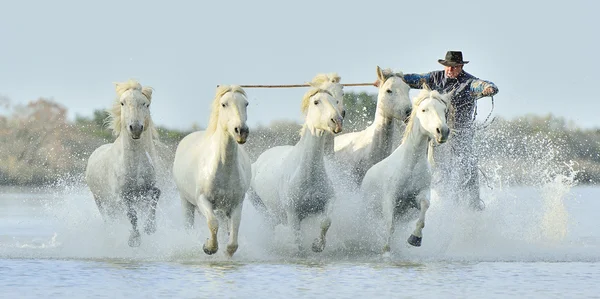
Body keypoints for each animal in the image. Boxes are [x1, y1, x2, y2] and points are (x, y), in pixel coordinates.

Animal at [86, 79, 162, 248]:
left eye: (145, 104)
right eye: (122, 103)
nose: (135, 128)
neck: (135, 164)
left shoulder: (147, 189)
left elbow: (156, 195)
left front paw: (150, 228)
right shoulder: (122, 195)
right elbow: (131, 214)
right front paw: (134, 239)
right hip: (101, 202)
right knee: (110, 219)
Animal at [171, 85, 251, 258]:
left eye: (246, 104)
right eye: (224, 104)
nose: (241, 131)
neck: (222, 168)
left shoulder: (236, 203)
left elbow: (233, 236)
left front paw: (225, 254)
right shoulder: (203, 200)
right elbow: (213, 224)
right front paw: (208, 247)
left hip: (222, 207)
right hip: (185, 202)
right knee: (189, 225)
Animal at [248, 86, 342, 253]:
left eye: (336, 101)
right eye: (316, 102)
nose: (337, 122)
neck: (307, 173)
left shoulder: (328, 201)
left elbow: (326, 221)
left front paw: (317, 245)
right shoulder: (292, 213)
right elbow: (297, 240)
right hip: (261, 208)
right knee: (270, 226)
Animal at [360, 88, 450, 254]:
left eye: (444, 110)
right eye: (424, 109)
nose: (442, 131)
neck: (410, 166)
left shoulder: (417, 197)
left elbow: (424, 207)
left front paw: (415, 238)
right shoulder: (390, 199)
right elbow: (389, 225)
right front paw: (386, 250)